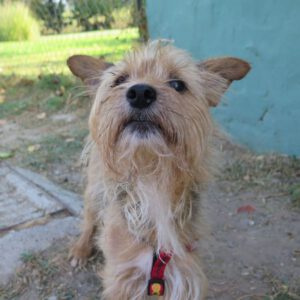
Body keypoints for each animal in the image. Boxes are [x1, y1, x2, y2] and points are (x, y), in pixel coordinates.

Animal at [67, 40, 251, 300]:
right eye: (120, 80)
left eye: (178, 84)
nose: (140, 93)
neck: (152, 174)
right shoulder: (121, 277)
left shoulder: (184, 273)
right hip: (94, 187)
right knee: (89, 217)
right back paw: (80, 249)